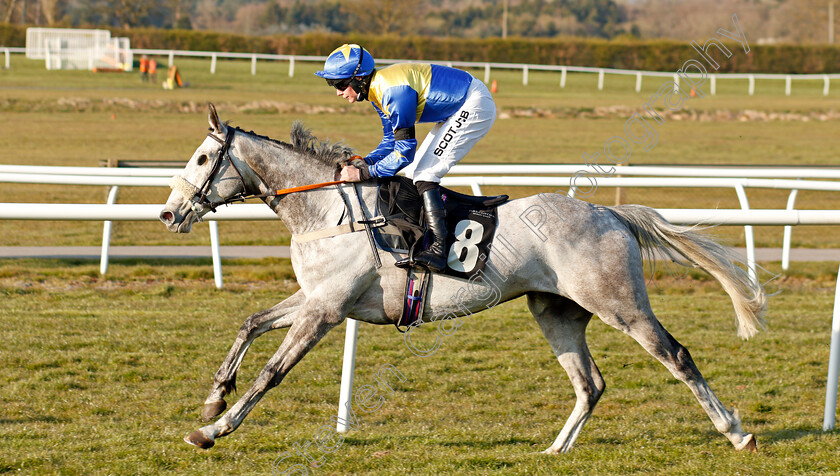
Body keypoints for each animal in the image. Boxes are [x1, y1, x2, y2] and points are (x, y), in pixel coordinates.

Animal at [159, 104, 768, 454]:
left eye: (204, 158)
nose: (168, 213)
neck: (331, 211)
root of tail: (610, 213)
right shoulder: (316, 299)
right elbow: (250, 323)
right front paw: (212, 400)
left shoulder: (325, 310)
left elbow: (271, 372)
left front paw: (213, 429)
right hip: (556, 311)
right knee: (590, 383)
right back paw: (555, 450)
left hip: (619, 302)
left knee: (677, 356)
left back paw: (737, 433)